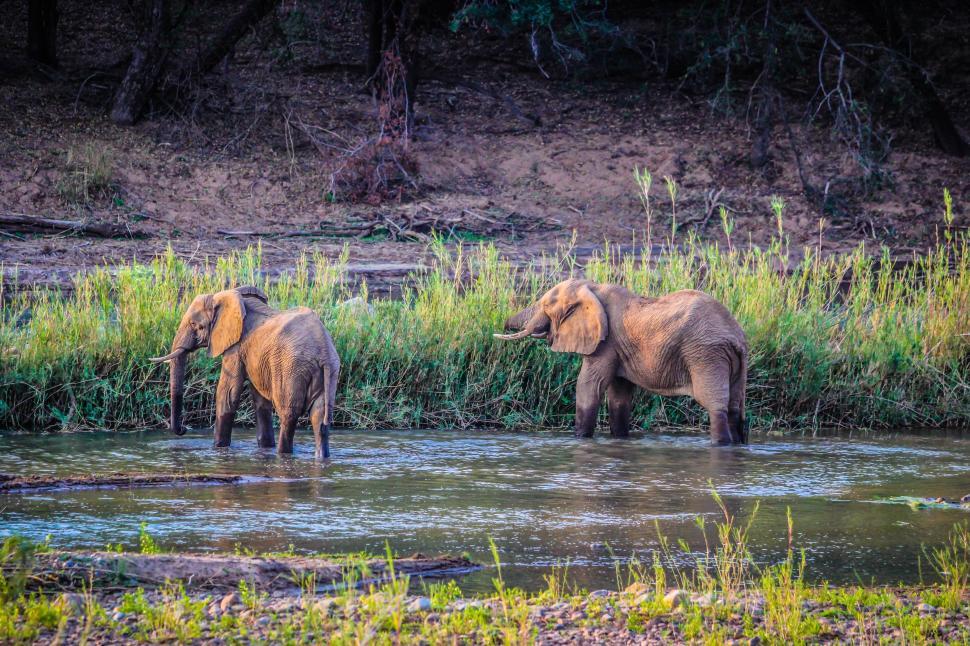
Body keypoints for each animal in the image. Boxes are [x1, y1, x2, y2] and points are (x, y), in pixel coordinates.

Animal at [150, 285, 340, 458]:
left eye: (195, 325)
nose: (184, 429)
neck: (230, 296)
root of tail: (323, 350)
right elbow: (260, 401)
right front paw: (264, 448)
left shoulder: (236, 347)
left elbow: (227, 393)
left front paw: (218, 449)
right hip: (328, 371)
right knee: (320, 417)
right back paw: (321, 458)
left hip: (291, 368)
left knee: (288, 415)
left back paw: (282, 455)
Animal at [495, 279, 748, 445]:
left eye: (546, 306)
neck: (592, 288)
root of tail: (735, 335)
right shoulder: (620, 349)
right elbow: (619, 395)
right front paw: (619, 440)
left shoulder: (606, 343)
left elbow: (589, 387)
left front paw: (580, 440)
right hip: (730, 361)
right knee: (735, 406)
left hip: (706, 355)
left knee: (715, 405)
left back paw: (720, 444)